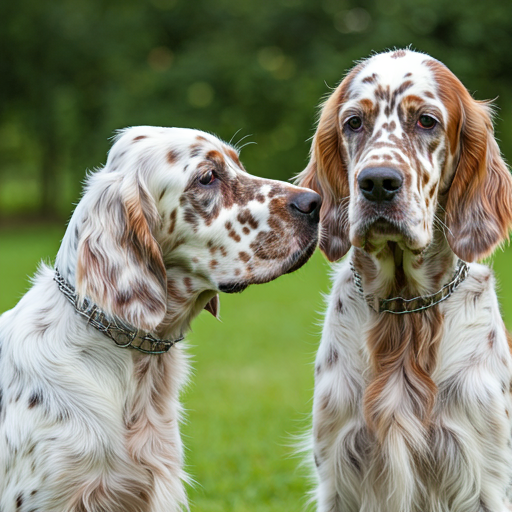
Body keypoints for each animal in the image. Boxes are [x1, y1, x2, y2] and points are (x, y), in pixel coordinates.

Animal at [298, 49, 512, 512]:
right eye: (353, 122)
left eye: (426, 121)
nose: (378, 182)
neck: (405, 311)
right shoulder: (340, 474)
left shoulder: (485, 477)